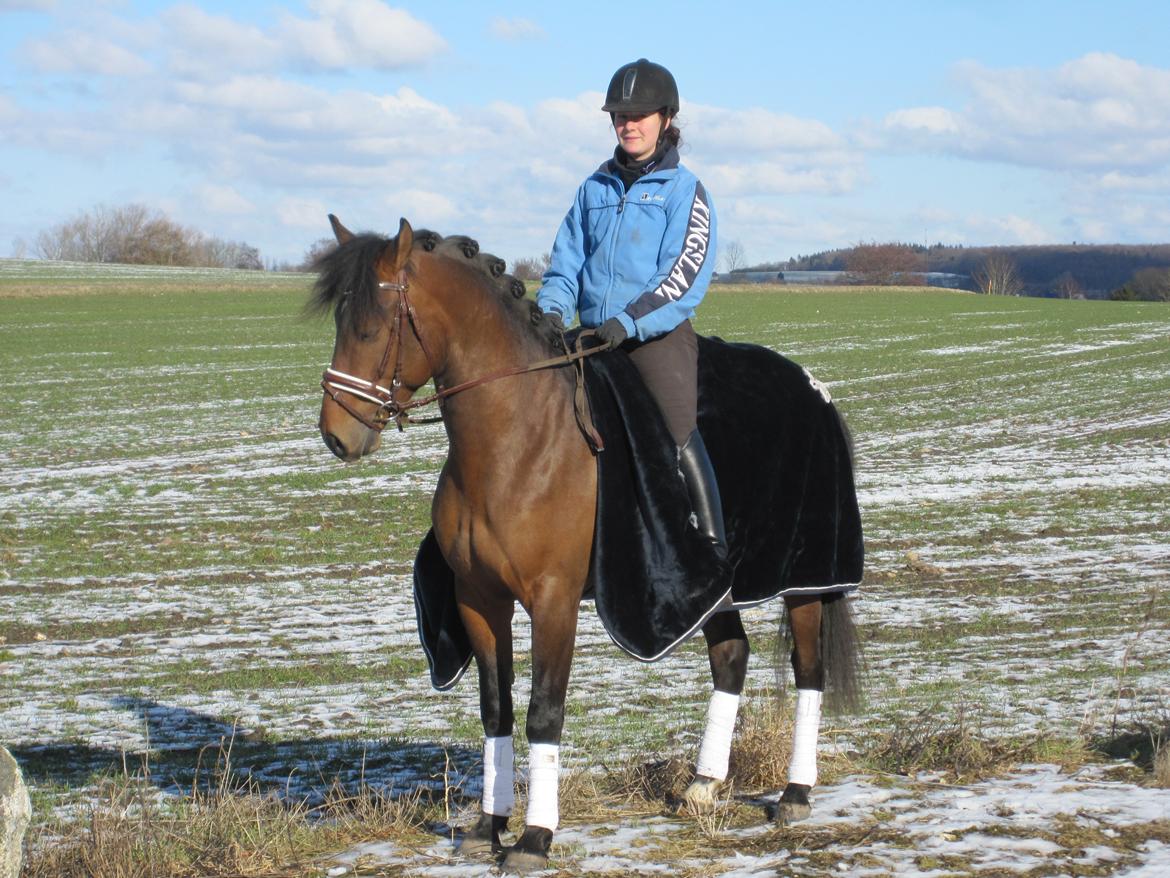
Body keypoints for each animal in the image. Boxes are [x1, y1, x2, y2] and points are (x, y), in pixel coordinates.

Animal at [311, 215, 861, 875]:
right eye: (339, 322)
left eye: (370, 327)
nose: (337, 435)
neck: (514, 438)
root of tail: (813, 386)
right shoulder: (479, 600)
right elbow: (496, 708)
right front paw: (488, 825)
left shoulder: (553, 601)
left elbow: (544, 712)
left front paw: (533, 837)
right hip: (711, 591)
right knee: (731, 657)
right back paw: (703, 786)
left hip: (805, 580)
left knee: (809, 671)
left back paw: (795, 793)